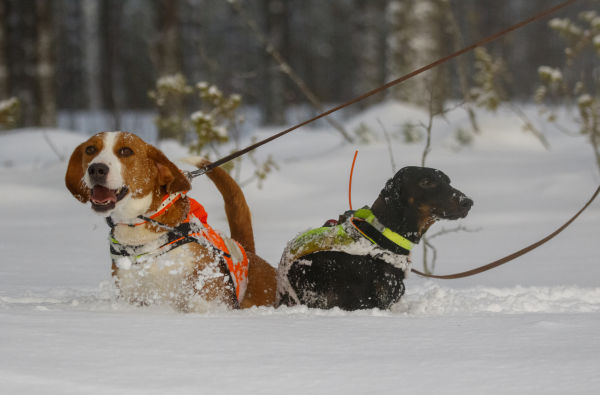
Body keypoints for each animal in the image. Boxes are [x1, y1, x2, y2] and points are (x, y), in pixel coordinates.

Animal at [65, 132, 276, 312]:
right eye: (90, 149)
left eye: (126, 151)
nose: (96, 169)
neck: (139, 230)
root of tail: (247, 251)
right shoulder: (132, 295)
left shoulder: (209, 288)